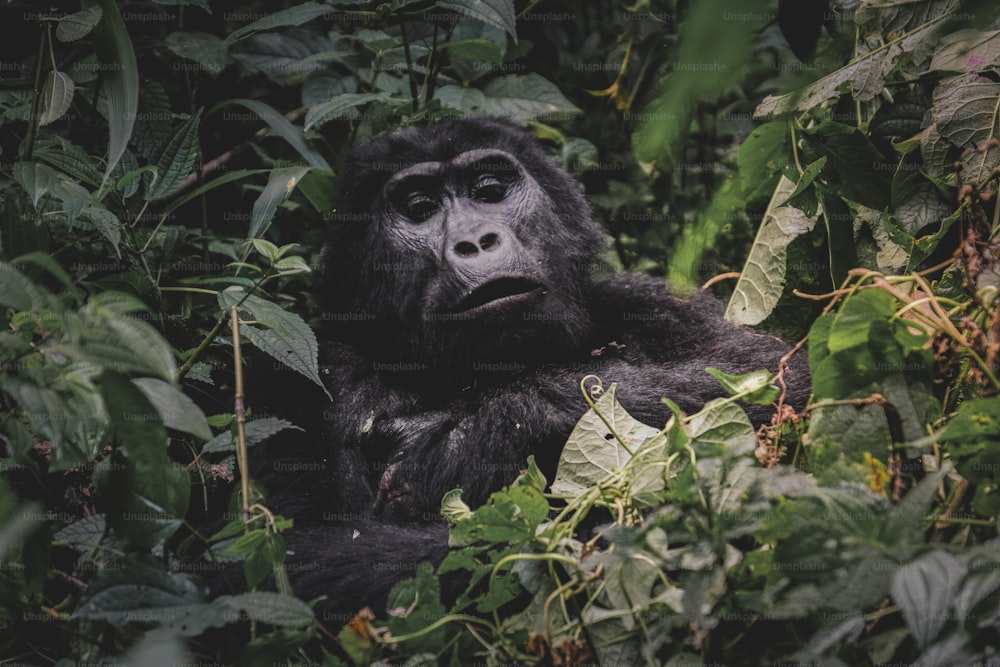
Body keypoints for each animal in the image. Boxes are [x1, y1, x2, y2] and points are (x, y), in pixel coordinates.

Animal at [250, 116, 812, 620]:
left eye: (491, 191)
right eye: (419, 209)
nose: (477, 241)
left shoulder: (655, 303)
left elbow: (773, 381)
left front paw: (473, 435)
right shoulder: (307, 373)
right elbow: (290, 562)